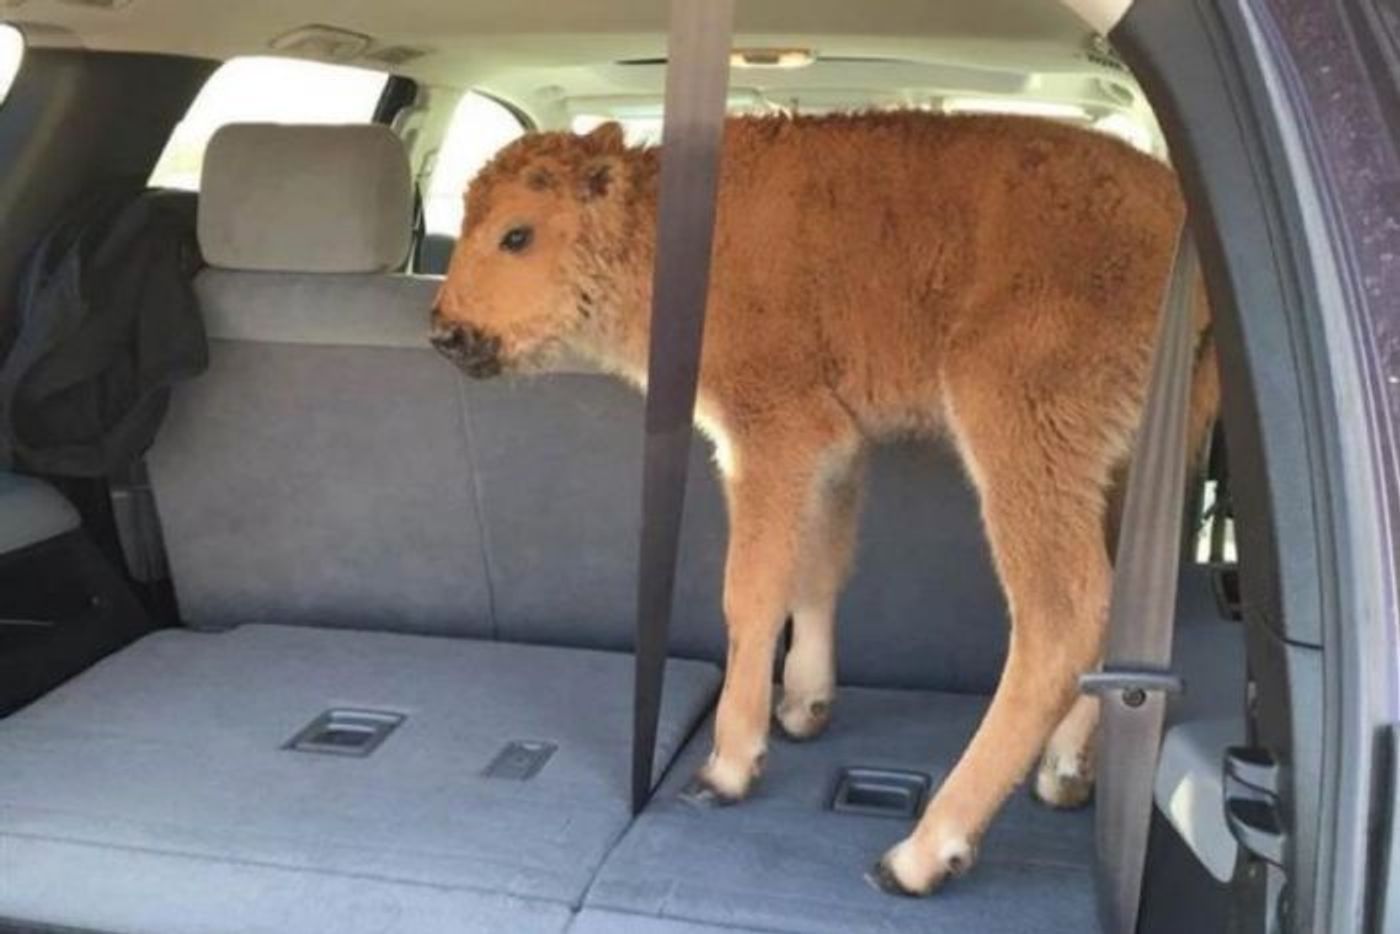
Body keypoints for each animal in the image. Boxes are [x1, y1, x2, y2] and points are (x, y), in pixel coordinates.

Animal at [428, 113, 1215, 896]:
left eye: (517, 234)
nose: (445, 333)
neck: (656, 230)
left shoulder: (769, 435)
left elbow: (751, 591)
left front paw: (729, 764)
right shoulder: (834, 450)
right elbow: (817, 569)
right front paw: (805, 707)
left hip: (1022, 431)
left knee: (1061, 613)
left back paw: (922, 853)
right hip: (1132, 463)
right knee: (1125, 604)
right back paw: (1065, 771)